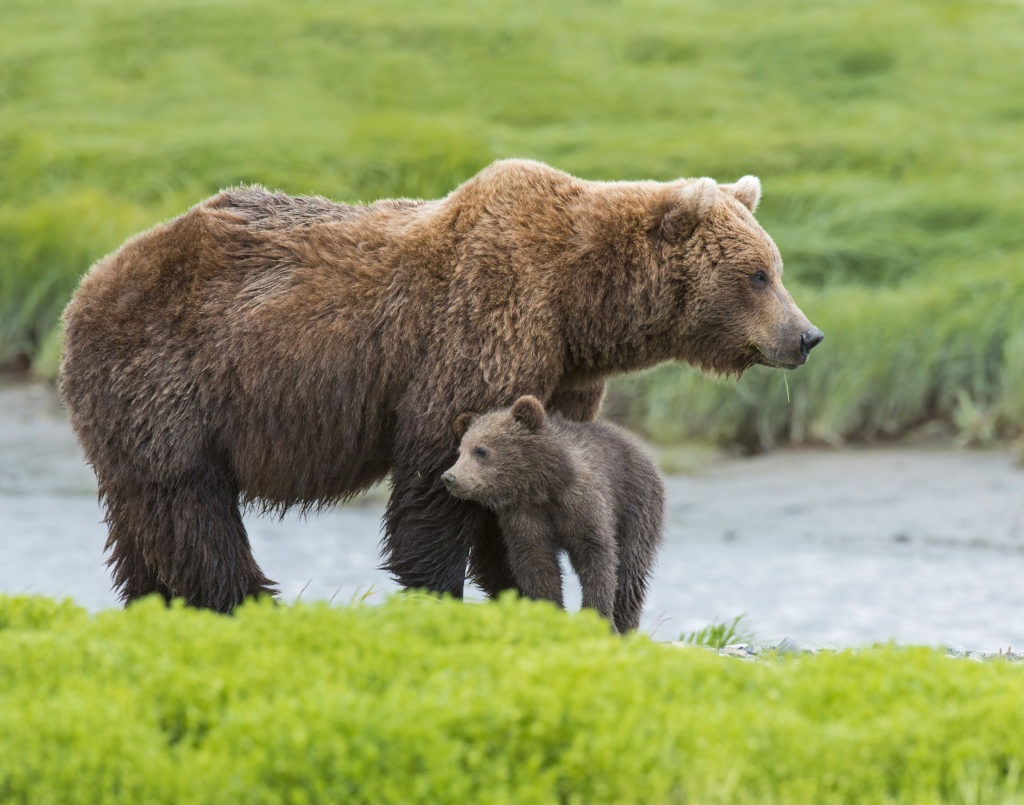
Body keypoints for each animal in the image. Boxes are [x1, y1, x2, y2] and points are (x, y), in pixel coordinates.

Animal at [59, 158, 819, 610]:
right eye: (758, 273)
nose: (806, 336)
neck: (579, 305)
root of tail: (89, 281)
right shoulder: (482, 324)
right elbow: (437, 471)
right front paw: (440, 589)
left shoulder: (561, 376)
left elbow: (525, 475)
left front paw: (521, 590)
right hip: (168, 382)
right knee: (190, 506)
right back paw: (247, 598)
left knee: (140, 522)